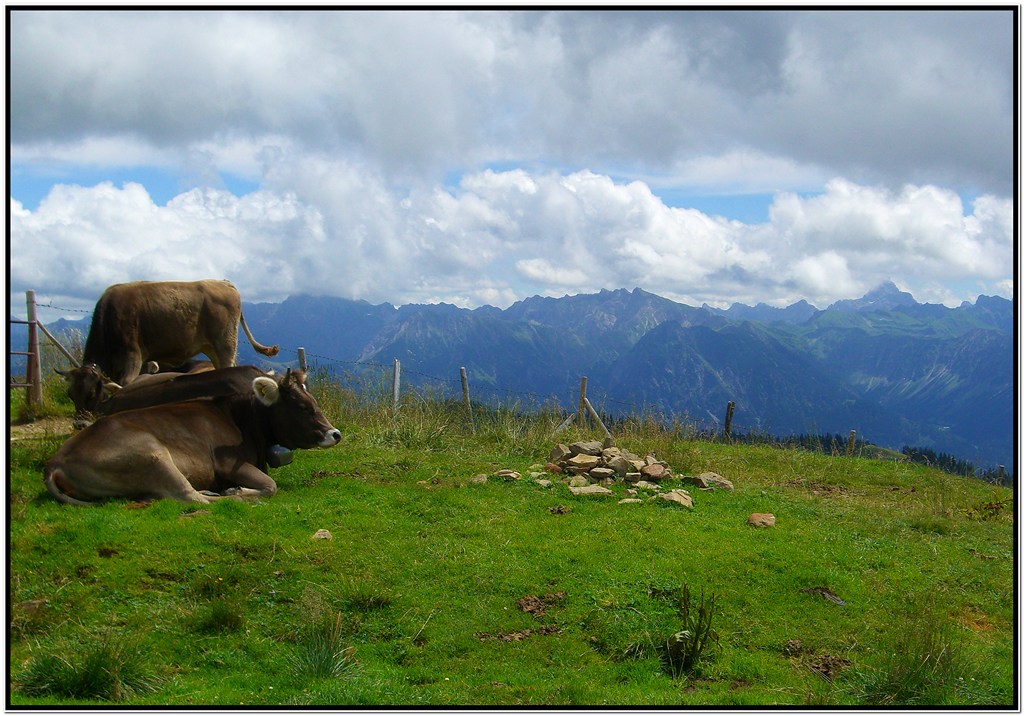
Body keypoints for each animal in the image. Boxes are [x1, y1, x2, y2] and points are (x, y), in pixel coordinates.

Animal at [43, 370, 340, 505]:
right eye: (302, 407)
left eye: (314, 400)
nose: (335, 433)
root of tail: (55, 462)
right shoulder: (229, 463)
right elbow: (270, 485)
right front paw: (239, 489)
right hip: (151, 453)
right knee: (189, 497)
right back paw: (231, 494)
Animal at [56, 280, 278, 417]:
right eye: (70, 395)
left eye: (91, 394)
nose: (78, 424)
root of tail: (223, 282)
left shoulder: (133, 356)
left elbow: (125, 384)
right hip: (212, 348)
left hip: (225, 344)